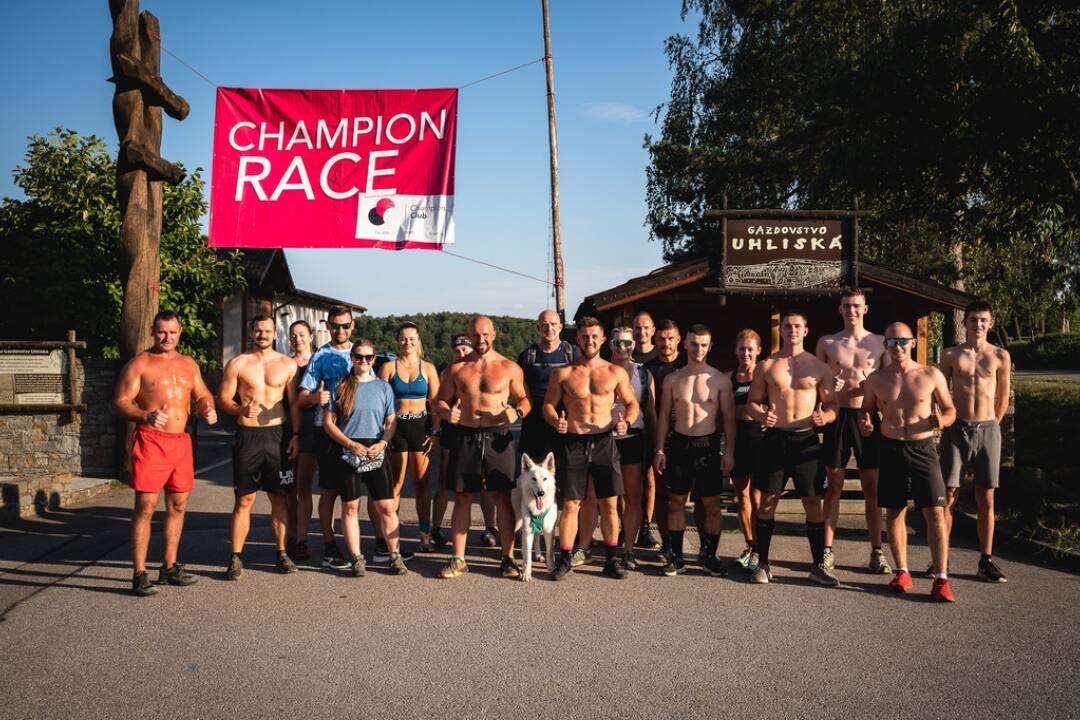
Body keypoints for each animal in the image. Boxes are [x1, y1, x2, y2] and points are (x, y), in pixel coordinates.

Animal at [511, 453, 561, 582]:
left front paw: (552, 568)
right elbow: (527, 556)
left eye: (545, 479)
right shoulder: (528, 531)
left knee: (537, 538)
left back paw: (538, 555)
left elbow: (549, 552)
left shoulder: (549, 531)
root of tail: (521, 475)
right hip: (518, 522)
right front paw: (526, 573)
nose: (541, 493)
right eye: (534, 479)